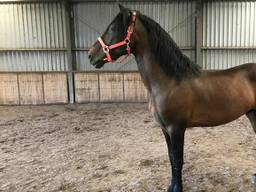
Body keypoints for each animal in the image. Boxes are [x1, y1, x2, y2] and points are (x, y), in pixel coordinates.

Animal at [88, 4, 256, 192]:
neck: (170, 81)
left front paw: (177, 188)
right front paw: (172, 186)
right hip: (252, 114)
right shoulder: (165, 129)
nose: (90, 55)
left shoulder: (176, 128)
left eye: (112, 28)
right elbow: (170, 157)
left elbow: (177, 160)